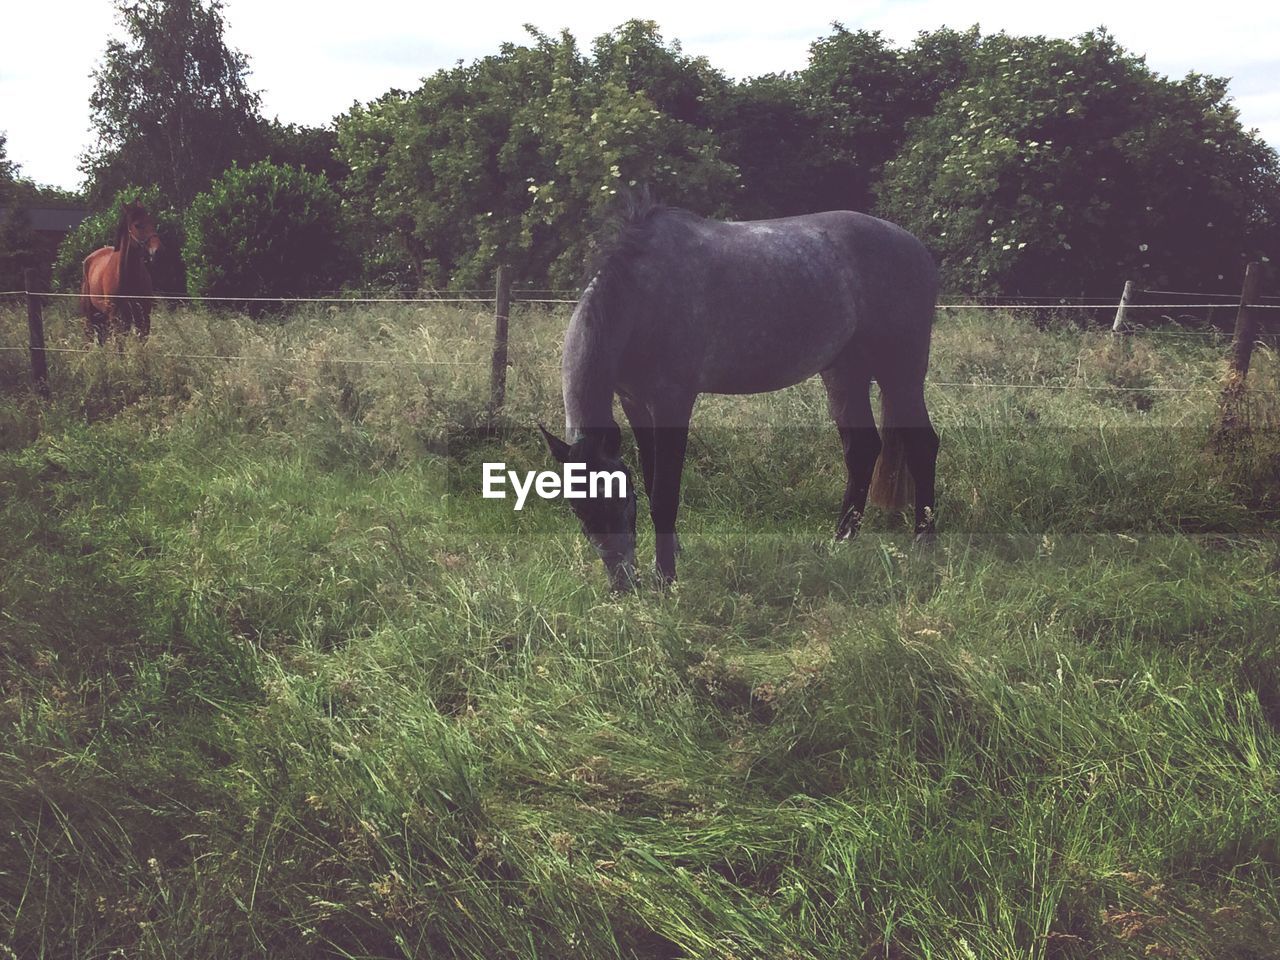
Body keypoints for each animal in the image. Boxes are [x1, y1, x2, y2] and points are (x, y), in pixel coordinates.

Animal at [82, 200, 161, 343]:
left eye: (151, 221)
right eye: (137, 225)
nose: (158, 250)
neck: (127, 275)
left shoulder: (143, 316)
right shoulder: (117, 319)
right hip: (91, 317)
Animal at [540, 197, 942, 593]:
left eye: (623, 503)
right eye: (579, 510)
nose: (623, 586)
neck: (641, 297)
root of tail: (915, 247)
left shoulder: (672, 402)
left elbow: (664, 494)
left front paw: (667, 578)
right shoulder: (634, 403)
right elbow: (653, 479)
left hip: (901, 372)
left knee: (923, 445)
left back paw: (924, 542)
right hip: (845, 373)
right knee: (861, 450)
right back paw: (842, 541)